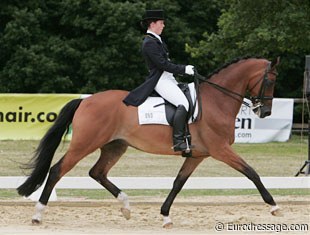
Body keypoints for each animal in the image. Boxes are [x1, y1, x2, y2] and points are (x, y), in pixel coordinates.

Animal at [17, 56, 280, 228]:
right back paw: (38, 215)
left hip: (115, 146)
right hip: (84, 144)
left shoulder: (197, 155)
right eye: (270, 81)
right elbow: (251, 172)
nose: (265, 112)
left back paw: (126, 207)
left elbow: (178, 183)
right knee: (57, 170)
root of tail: (86, 100)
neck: (217, 100)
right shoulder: (220, 150)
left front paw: (165, 216)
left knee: (97, 172)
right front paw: (274, 206)